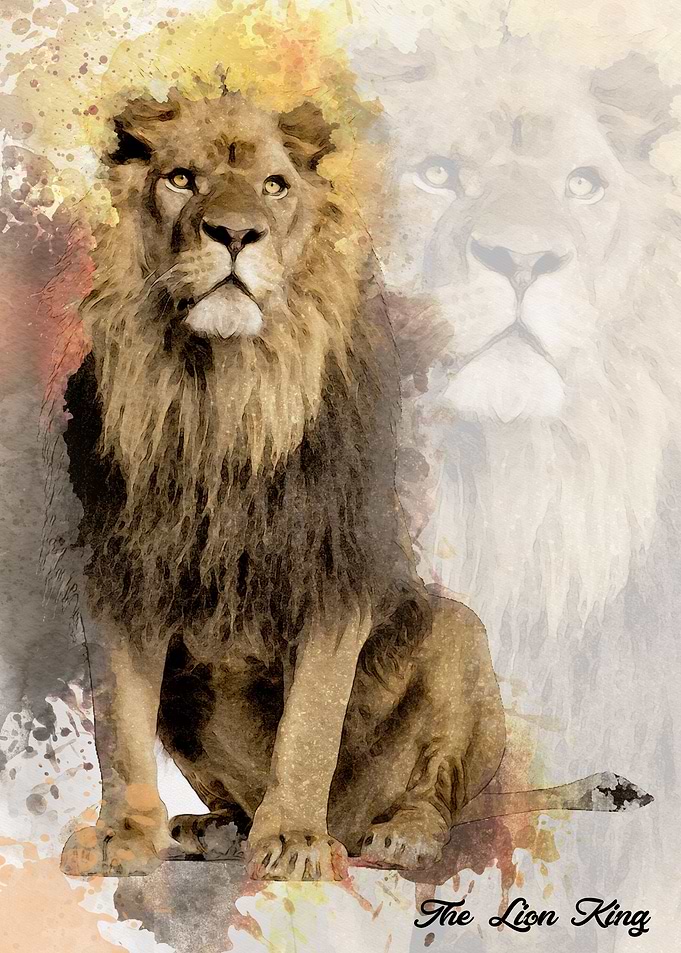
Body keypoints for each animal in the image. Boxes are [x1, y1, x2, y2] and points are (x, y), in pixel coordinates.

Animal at [55, 85, 651, 883]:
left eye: (275, 186)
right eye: (181, 179)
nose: (235, 234)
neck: (223, 393)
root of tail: (353, 819)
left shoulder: (336, 571)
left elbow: (309, 725)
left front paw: (293, 841)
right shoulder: (127, 576)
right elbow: (120, 725)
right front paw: (122, 835)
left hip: (460, 633)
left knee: (437, 792)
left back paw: (395, 835)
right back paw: (214, 828)